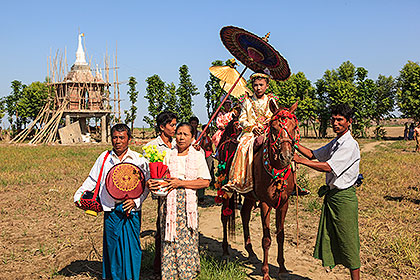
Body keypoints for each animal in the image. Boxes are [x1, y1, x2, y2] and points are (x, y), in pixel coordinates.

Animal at [215, 99, 300, 278]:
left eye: (294, 127)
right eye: (273, 128)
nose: (286, 156)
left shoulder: (284, 203)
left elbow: (280, 235)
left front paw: (282, 269)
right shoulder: (265, 203)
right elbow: (266, 239)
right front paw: (266, 273)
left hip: (249, 195)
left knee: (245, 215)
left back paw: (251, 252)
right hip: (226, 191)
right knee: (225, 217)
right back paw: (225, 251)